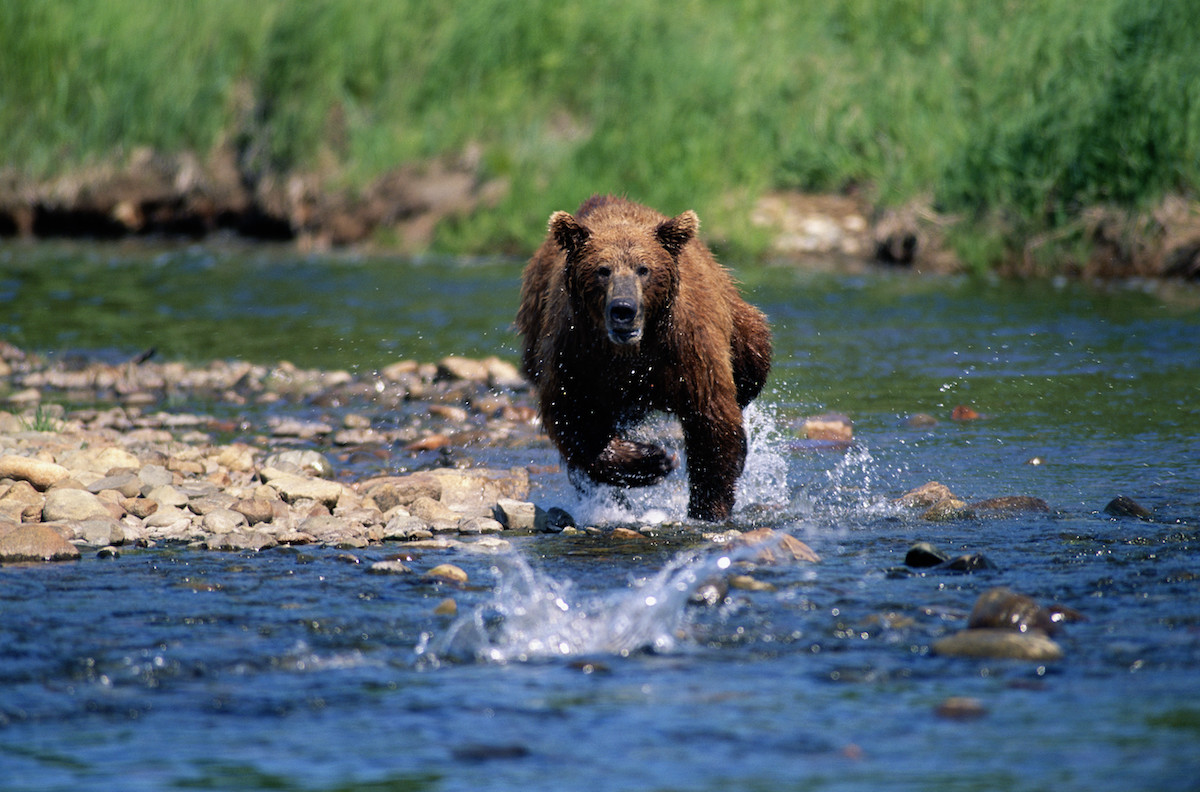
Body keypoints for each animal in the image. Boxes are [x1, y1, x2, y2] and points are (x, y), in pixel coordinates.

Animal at [516, 195, 772, 521]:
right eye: (603, 269)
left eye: (643, 269)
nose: (623, 309)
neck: (632, 352)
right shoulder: (575, 353)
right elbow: (572, 417)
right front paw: (652, 460)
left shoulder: (688, 348)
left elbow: (710, 419)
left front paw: (708, 507)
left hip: (738, 323)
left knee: (753, 359)